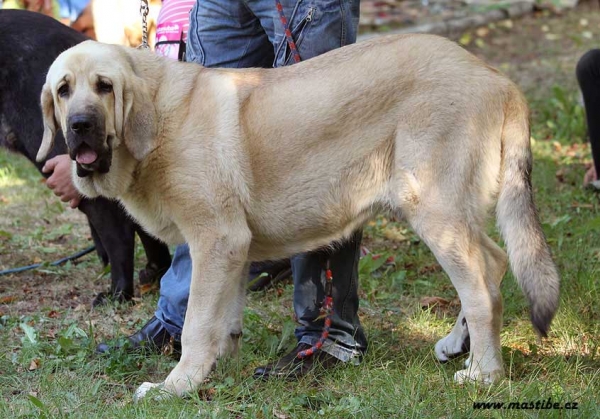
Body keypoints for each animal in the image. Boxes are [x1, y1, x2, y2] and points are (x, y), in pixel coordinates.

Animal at [37, 36, 560, 400]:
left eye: (105, 87)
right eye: (63, 91)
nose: (79, 125)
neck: (159, 118)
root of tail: (497, 79)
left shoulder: (215, 239)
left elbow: (195, 324)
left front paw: (176, 386)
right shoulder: (234, 250)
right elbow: (223, 318)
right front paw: (218, 368)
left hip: (430, 205)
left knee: (482, 286)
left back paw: (485, 374)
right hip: (451, 212)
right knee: (492, 264)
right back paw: (457, 345)